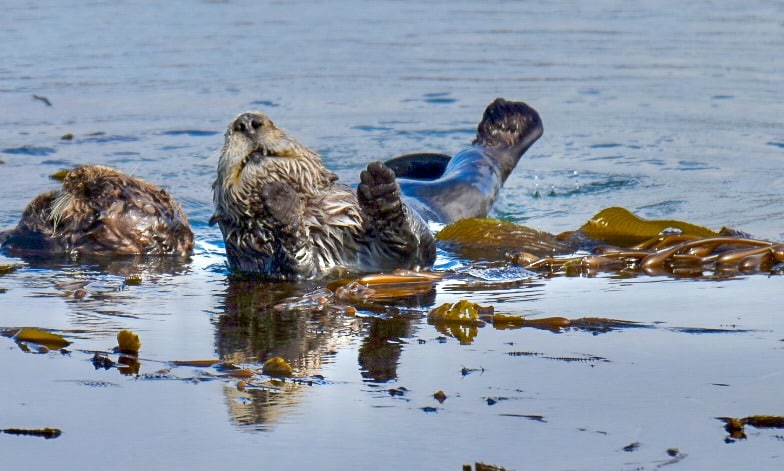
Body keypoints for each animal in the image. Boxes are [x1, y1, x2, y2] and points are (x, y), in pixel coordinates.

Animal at [211, 98, 542, 280]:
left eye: (276, 123)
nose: (247, 121)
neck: (320, 225)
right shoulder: (271, 266)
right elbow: (296, 261)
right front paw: (280, 203)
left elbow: (414, 242)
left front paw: (380, 191)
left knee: (479, 157)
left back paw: (509, 118)